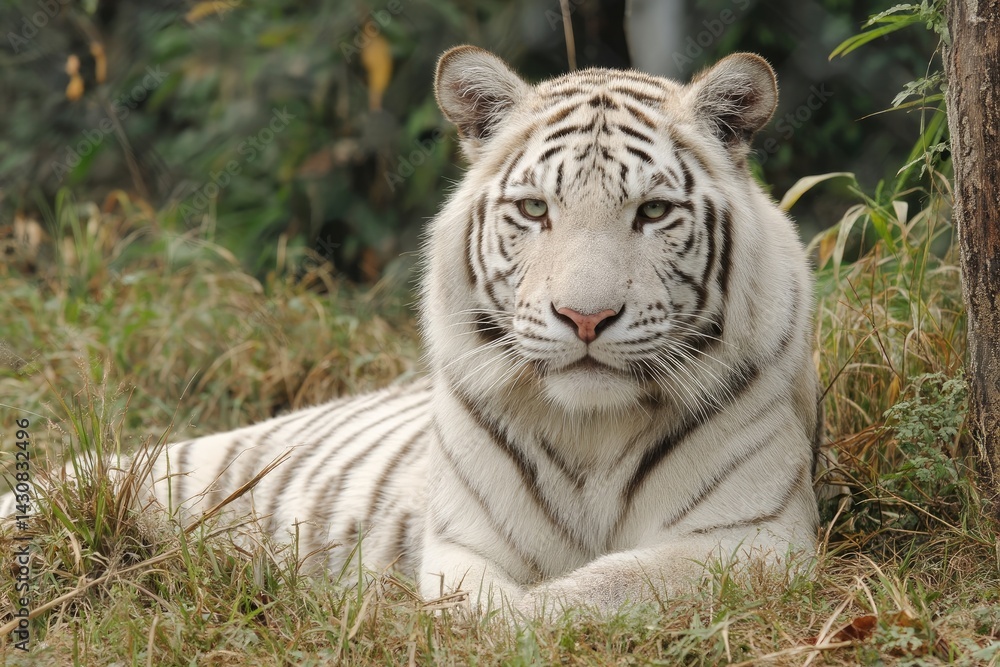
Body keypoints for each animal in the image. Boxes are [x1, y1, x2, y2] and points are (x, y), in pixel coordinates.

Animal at [2, 46, 821, 617]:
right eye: (535, 210)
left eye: (652, 212)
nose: (584, 318)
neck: (594, 431)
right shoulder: (464, 544)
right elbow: (482, 605)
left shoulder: (752, 538)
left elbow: (599, 589)